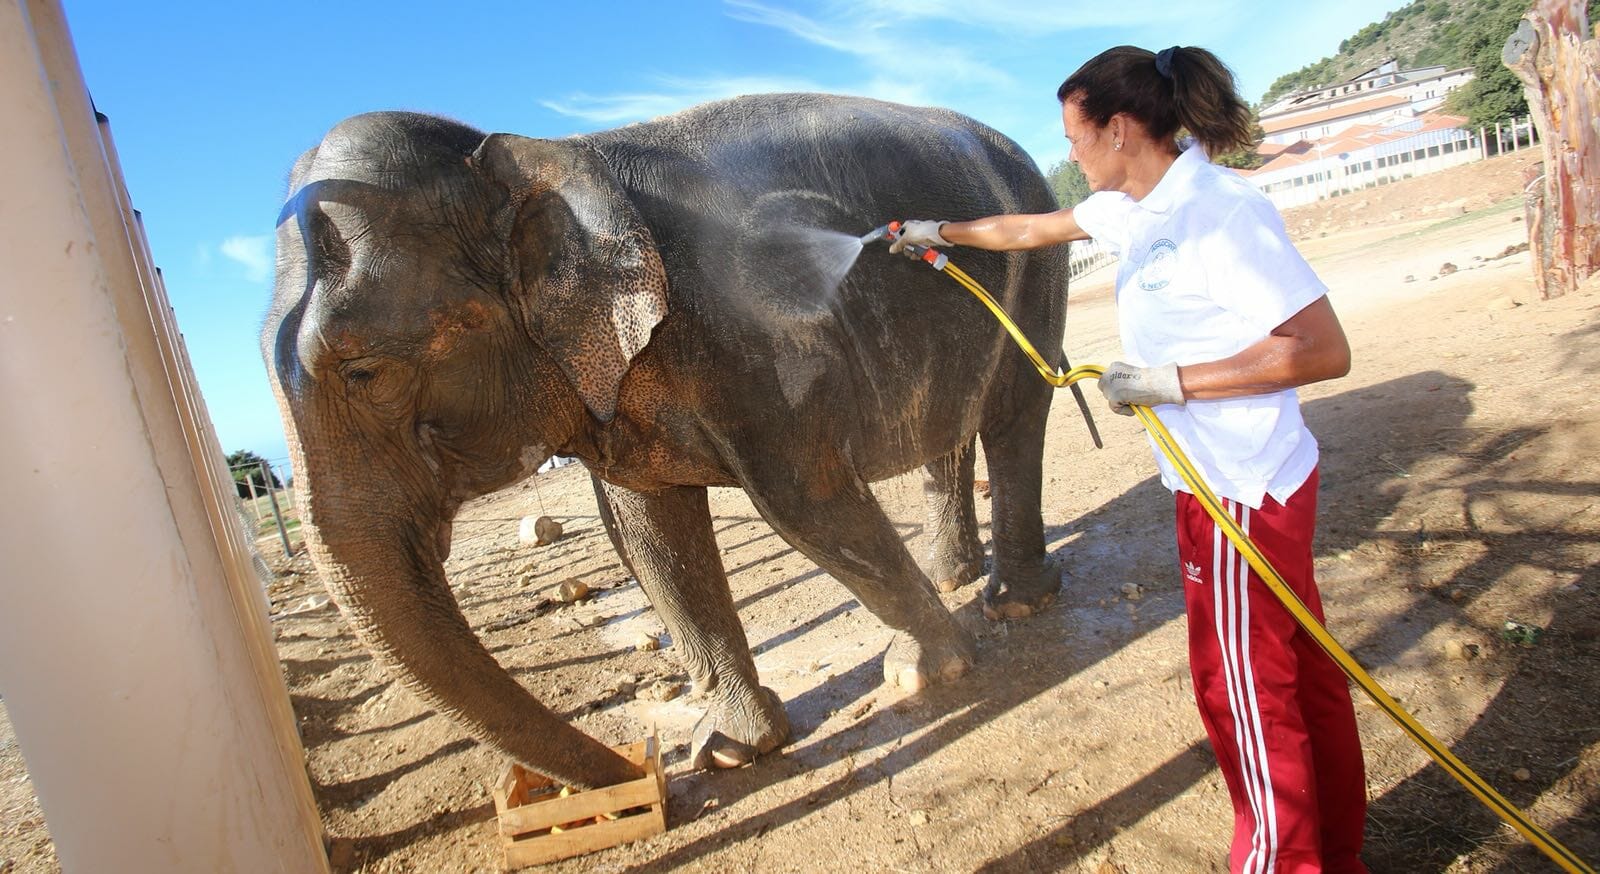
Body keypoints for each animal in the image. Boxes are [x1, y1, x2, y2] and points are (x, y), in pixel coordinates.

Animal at [265, 92, 1075, 784]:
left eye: (366, 371)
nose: (645, 775)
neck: (546, 155)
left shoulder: (757, 338)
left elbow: (807, 504)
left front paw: (922, 676)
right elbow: (647, 532)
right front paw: (729, 752)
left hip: (1038, 255)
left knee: (1012, 420)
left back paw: (1013, 603)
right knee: (954, 431)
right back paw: (953, 578)